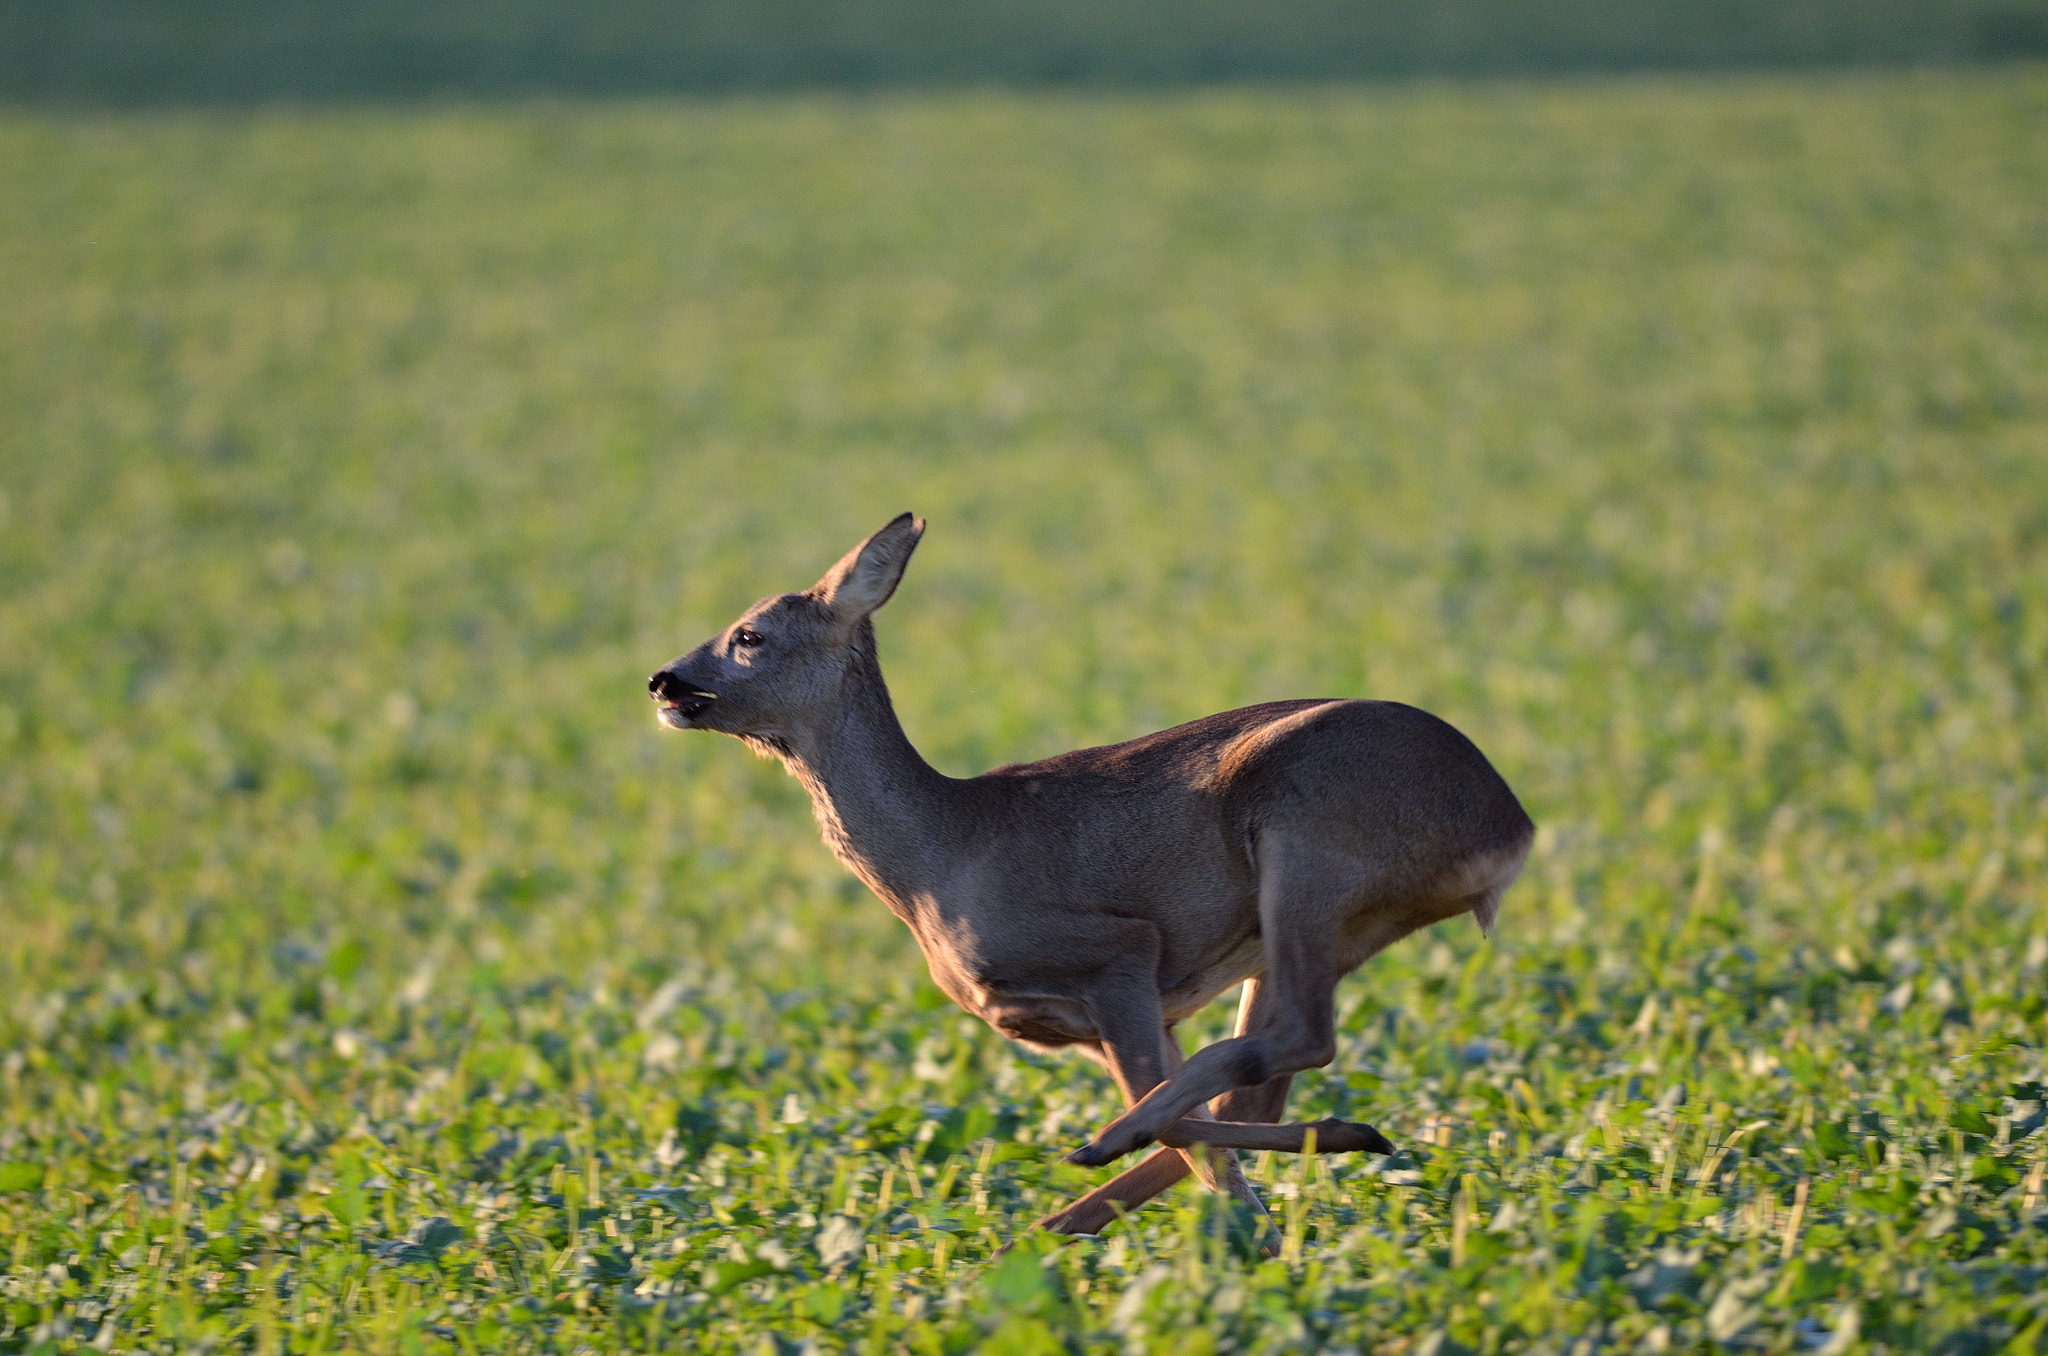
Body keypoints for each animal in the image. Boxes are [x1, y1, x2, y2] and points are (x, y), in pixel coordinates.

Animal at [647, 516, 1531, 1245]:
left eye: (750, 634)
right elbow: (1195, 1122)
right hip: (1322, 923)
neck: (936, 860)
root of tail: (1512, 828)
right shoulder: (1122, 1005)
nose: (663, 681)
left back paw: (1115, 1150)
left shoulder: (1118, 952)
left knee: (1295, 1042)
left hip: (1308, 840)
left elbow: (1184, 1121)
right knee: (1254, 1071)